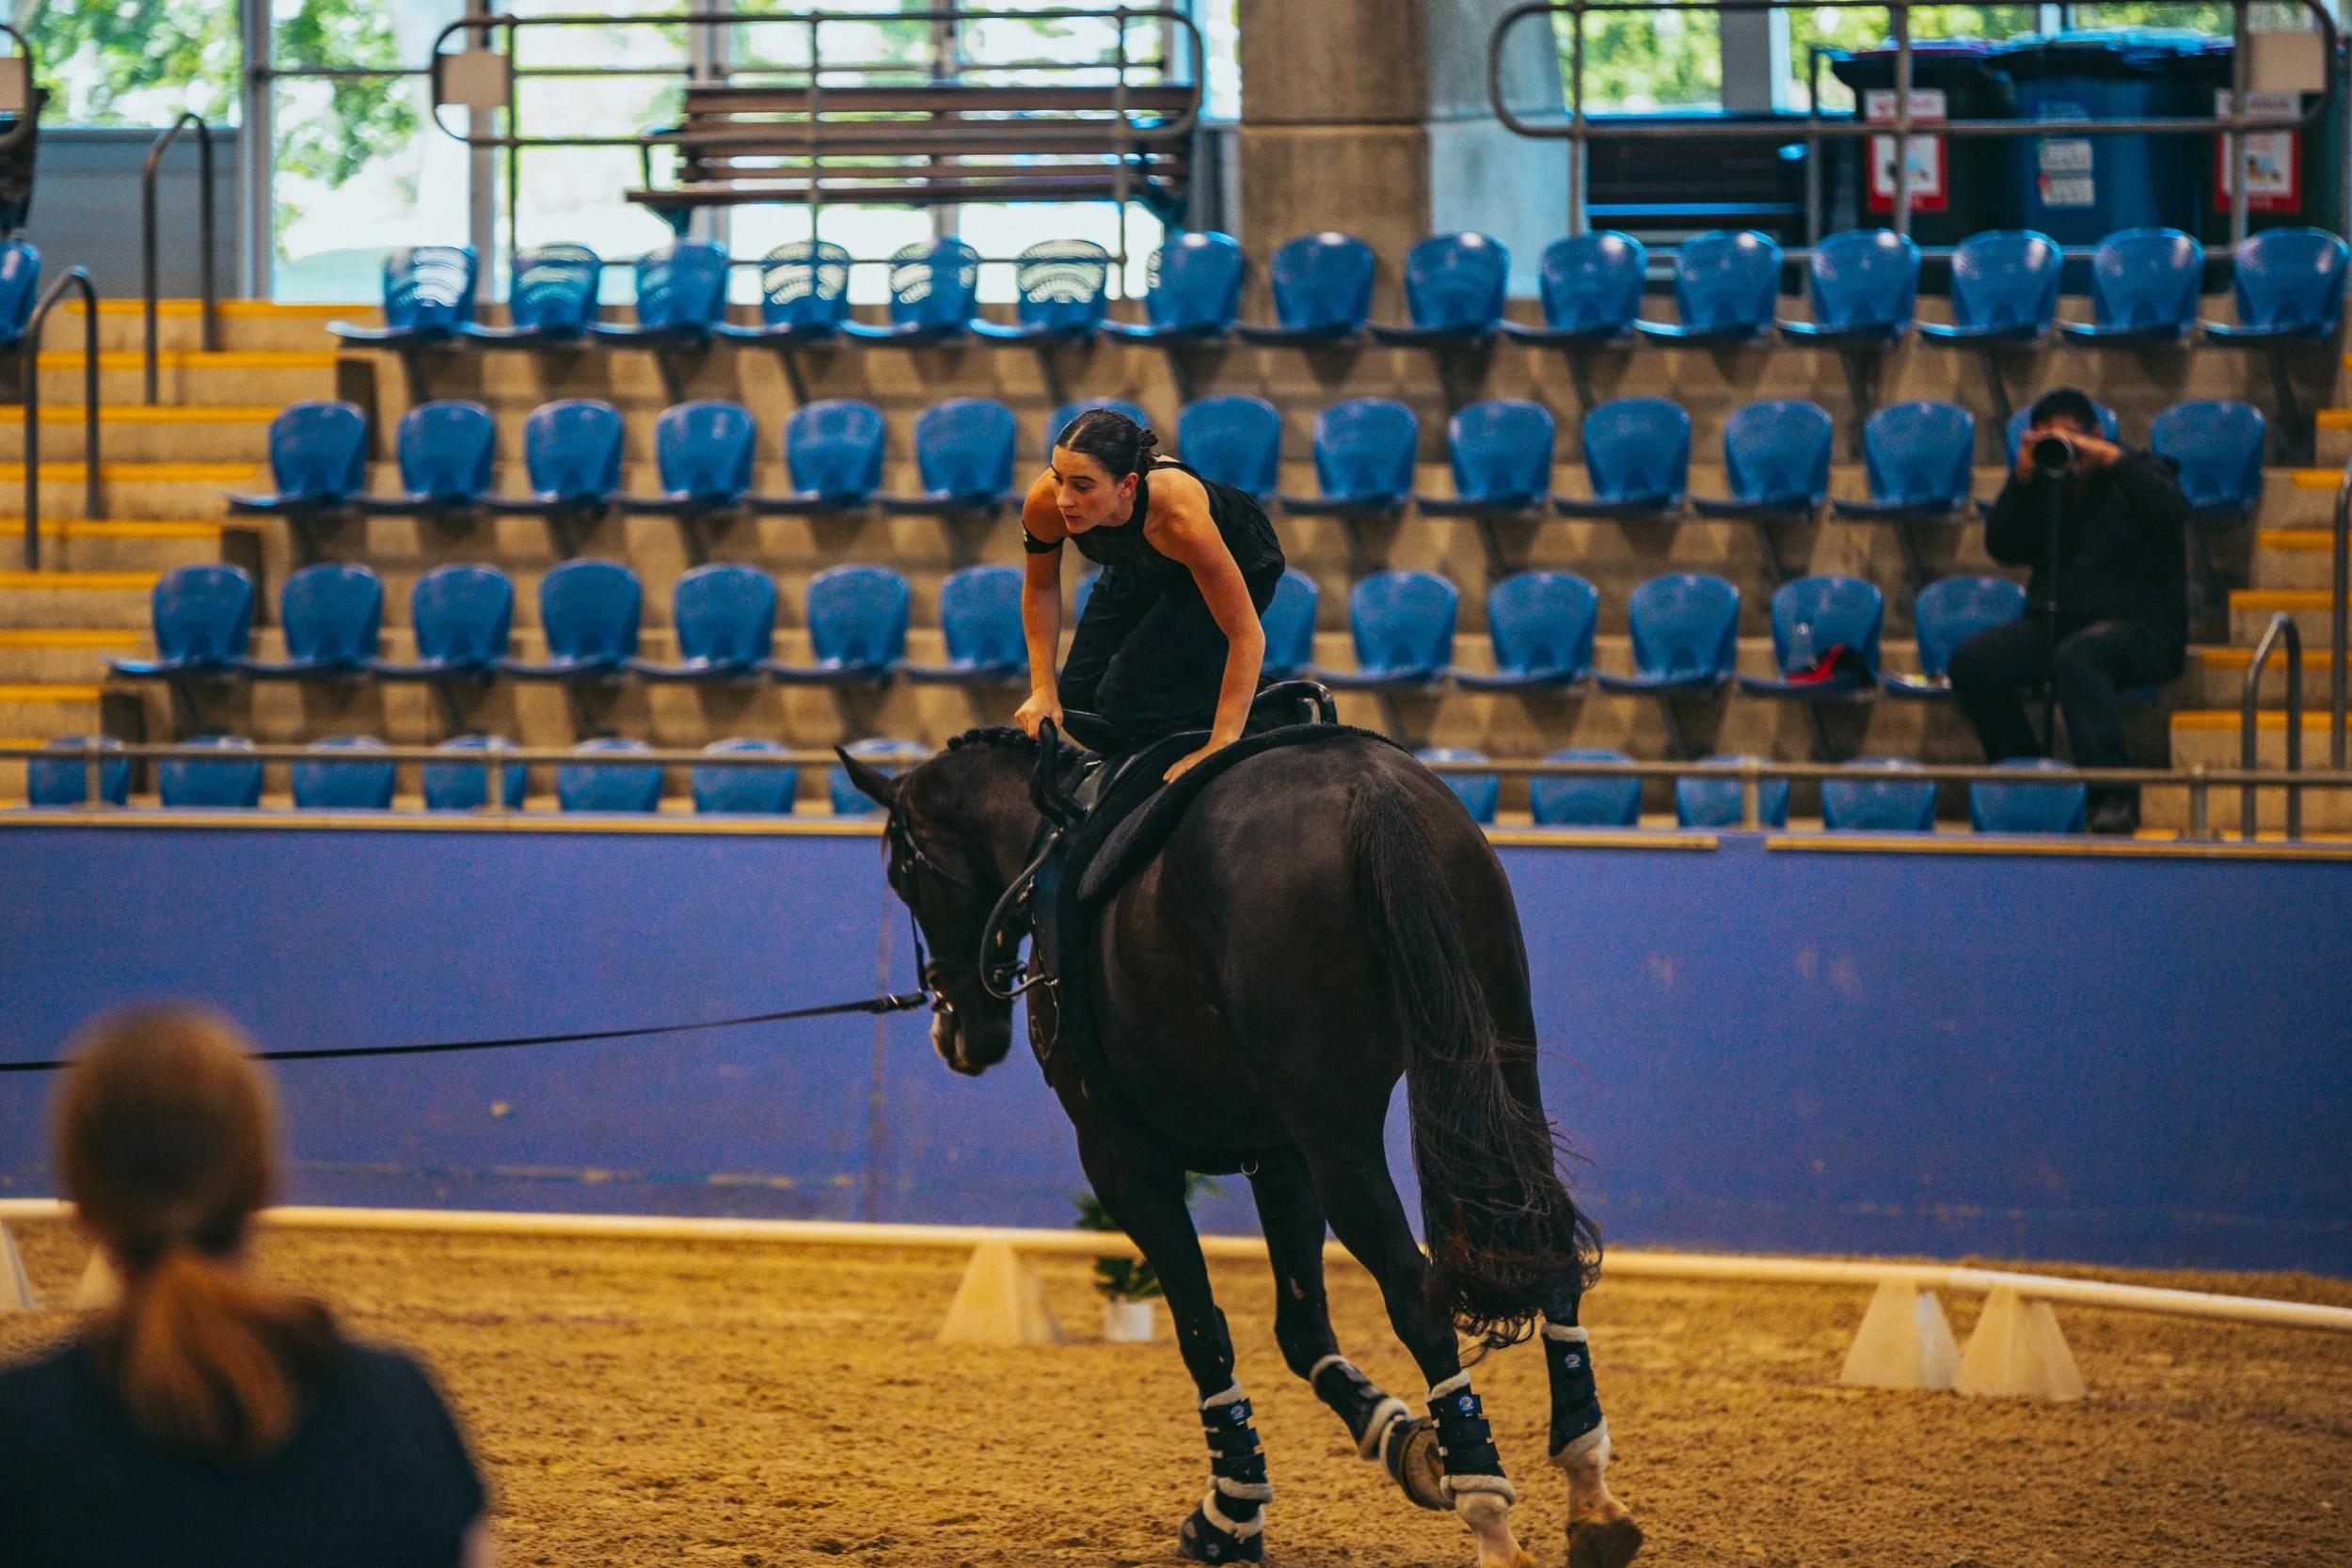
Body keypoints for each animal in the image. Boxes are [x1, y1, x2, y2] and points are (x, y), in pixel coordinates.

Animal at [837, 725, 1642, 1568]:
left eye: (902, 874)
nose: (958, 1032)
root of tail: (1370, 786)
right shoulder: (1279, 1154)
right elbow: (1300, 1326)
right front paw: (1397, 1436)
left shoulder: (1124, 1163)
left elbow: (1202, 1330)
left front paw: (1231, 1508)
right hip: (1500, 1063)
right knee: (1546, 1243)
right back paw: (1589, 1488)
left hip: (1338, 1132)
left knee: (1416, 1292)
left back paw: (1488, 1511)